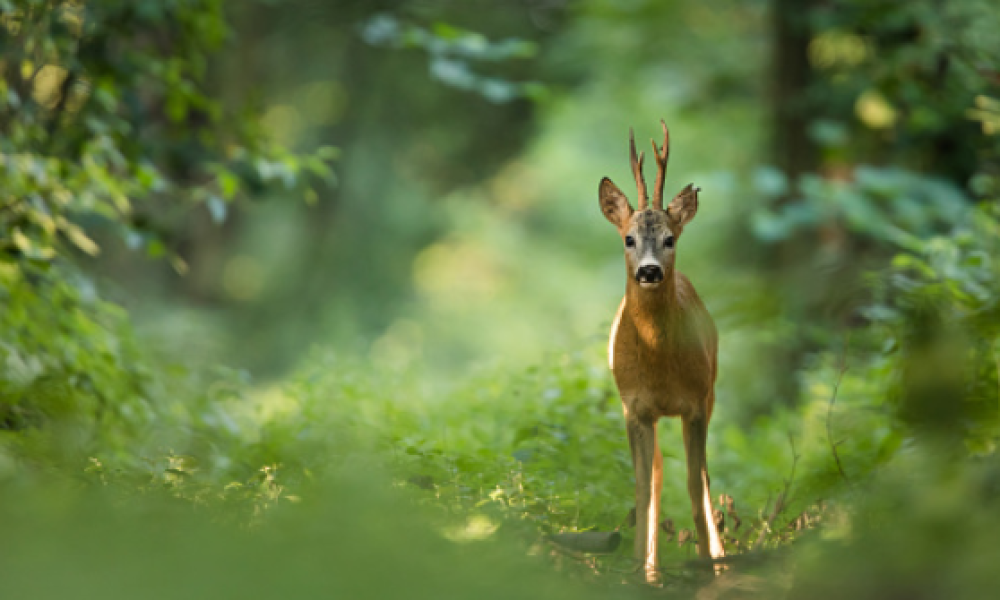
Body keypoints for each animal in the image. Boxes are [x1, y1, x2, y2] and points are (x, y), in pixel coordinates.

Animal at [598, 121, 725, 583]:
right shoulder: (635, 407)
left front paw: (708, 568)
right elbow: (642, 487)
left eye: (670, 239)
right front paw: (639, 571)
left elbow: (695, 482)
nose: (650, 271)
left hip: (711, 391)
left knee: (701, 478)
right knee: (655, 476)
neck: (660, 369)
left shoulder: (696, 404)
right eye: (629, 238)